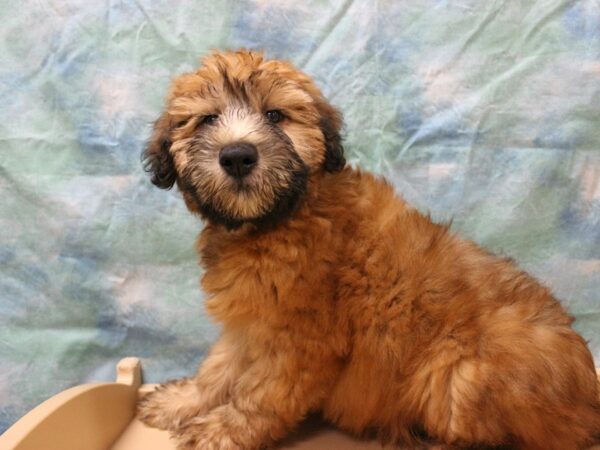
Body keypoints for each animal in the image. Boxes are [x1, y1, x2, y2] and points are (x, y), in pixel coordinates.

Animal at [138, 49, 600, 450]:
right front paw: (183, 401)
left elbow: (261, 394)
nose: (237, 156)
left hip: (456, 373)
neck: (282, 217)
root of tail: (588, 401)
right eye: (207, 119)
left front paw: (223, 431)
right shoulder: (249, 321)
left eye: (274, 115)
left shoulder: (299, 341)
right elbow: (219, 368)